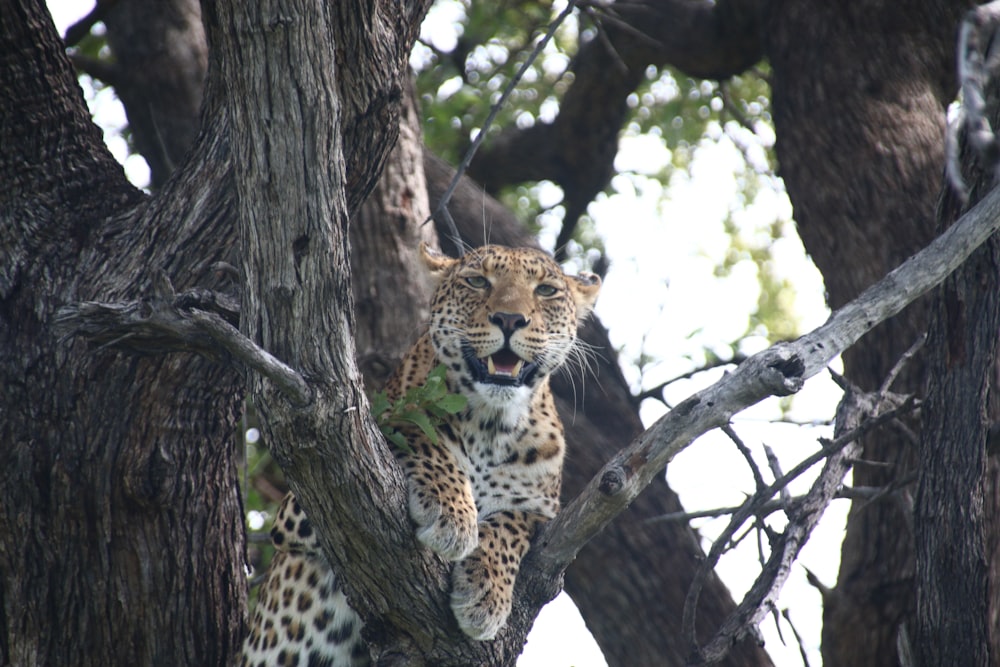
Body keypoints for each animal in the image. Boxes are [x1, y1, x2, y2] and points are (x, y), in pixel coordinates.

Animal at [242, 245, 600, 667]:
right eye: (477, 281)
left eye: (546, 290)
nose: (510, 318)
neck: (491, 425)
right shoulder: (302, 506)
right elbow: (415, 433)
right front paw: (452, 515)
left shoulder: (540, 509)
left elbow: (511, 526)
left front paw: (487, 592)